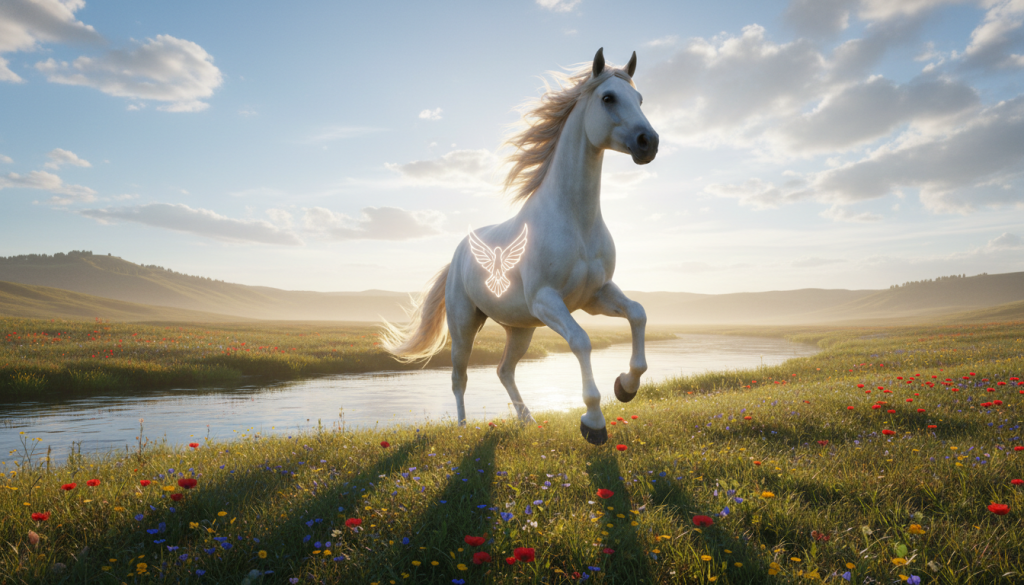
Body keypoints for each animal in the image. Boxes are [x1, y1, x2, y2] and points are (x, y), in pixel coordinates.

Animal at [382, 48, 659, 445]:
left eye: (639, 99)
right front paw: (593, 422)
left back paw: (527, 420)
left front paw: (626, 386)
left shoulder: (595, 295)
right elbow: (581, 341)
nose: (648, 142)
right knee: (459, 376)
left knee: (504, 370)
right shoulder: (548, 300)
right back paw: (463, 429)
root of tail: (458, 254)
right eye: (608, 98)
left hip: (521, 328)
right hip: (465, 325)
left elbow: (637, 313)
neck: (575, 221)